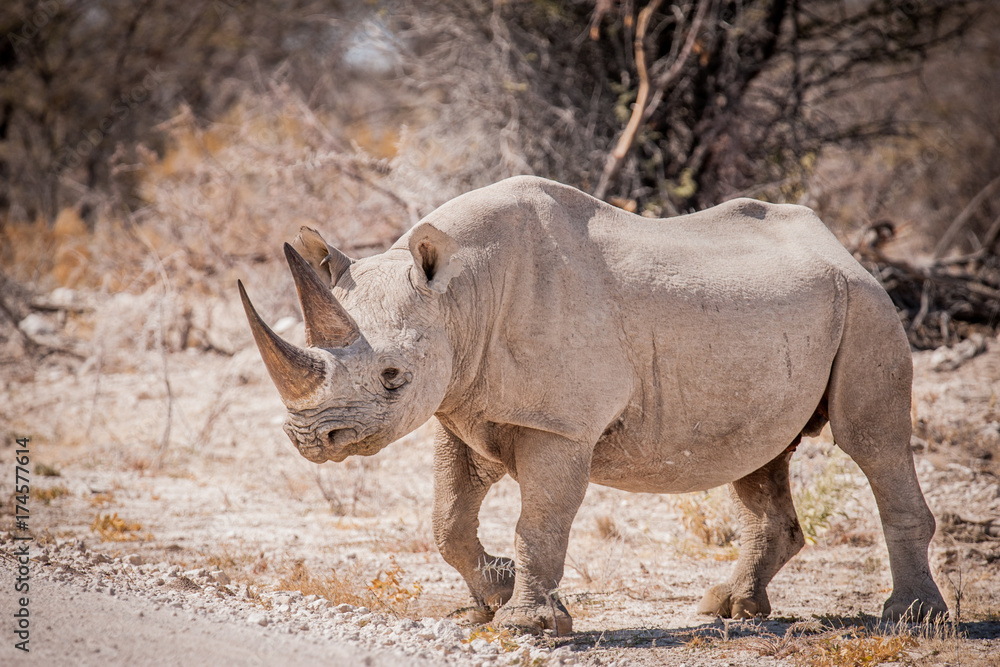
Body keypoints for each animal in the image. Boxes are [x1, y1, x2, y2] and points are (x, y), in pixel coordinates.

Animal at [239, 175, 947, 634]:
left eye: (392, 376)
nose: (312, 439)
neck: (460, 296)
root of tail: (842, 248)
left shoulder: (561, 424)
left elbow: (541, 521)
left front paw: (527, 625)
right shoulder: (461, 406)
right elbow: (446, 520)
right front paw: (487, 598)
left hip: (868, 307)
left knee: (873, 441)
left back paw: (911, 619)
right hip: (789, 316)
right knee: (760, 456)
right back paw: (729, 609)